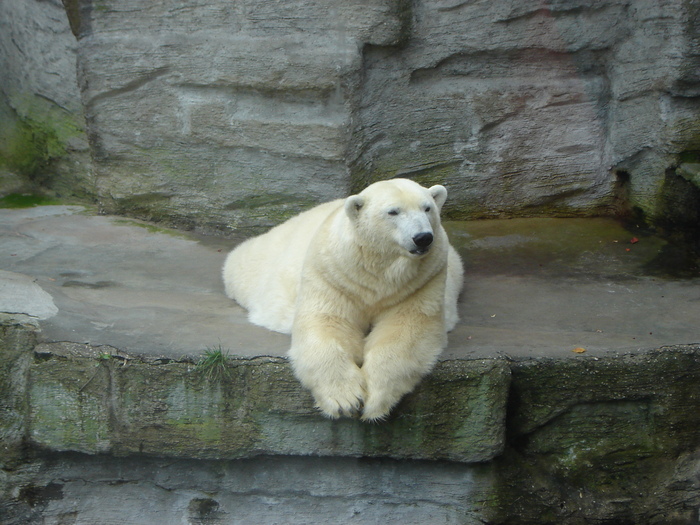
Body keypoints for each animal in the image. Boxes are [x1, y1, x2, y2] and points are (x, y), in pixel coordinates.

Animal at [224, 178, 462, 420]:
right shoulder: (334, 274)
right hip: (262, 264)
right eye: (393, 211)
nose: (423, 237)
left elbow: (406, 328)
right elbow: (327, 323)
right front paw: (345, 400)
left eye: (427, 208)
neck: (378, 270)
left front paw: (375, 399)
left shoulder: (424, 278)